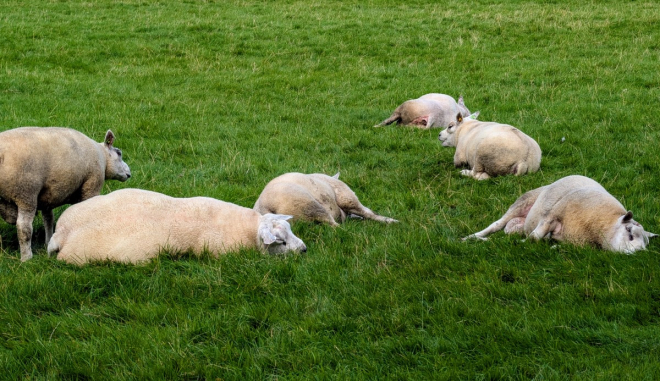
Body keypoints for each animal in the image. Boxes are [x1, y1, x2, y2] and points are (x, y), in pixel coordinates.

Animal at [0, 127, 131, 262]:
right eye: (119, 153)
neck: (103, 157)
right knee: (24, 228)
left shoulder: (48, 196)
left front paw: (48, 241)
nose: (129, 173)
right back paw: (27, 257)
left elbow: (48, 219)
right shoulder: (92, 184)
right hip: (26, 191)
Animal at [253, 172, 398, 226]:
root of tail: (266, 207)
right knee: (335, 225)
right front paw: (389, 220)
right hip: (308, 204)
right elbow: (367, 212)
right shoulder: (346, 197)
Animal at [462, 174, 656, 252]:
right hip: (522, 203)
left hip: (516, 227)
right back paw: (472, 237)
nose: (636, 253)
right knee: (495, 225)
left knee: (506, 233)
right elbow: (535, 237)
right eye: (630, 233)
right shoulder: (552, 216)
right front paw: (525, 244)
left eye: (644, 245)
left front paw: (553, 246)